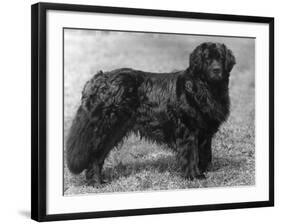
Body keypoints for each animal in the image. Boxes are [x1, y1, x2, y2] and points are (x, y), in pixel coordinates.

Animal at [65, 42, 234, 186]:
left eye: (220, 58)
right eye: (207, 59)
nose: (216, 69)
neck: (205, 89)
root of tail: (98, 78)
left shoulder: (205, 131)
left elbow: (205, 154)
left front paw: (204, 171)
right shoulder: (188, 130)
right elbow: (192, 154)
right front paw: (195, 176)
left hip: (115, 130)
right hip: (106, 128)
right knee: (95, 155)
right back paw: (97, 182)